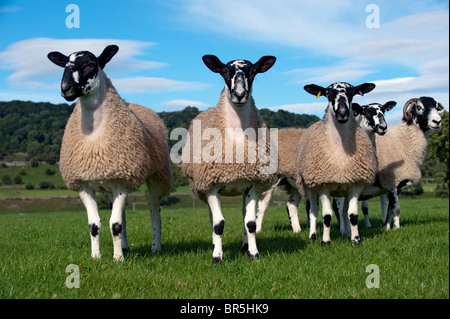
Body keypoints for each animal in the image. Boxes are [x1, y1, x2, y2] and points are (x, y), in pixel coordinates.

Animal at [47, 45, 171, 262]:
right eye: (64, 65)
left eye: (91, 64)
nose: (65, 89)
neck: (94, 136)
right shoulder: (84, 185)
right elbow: (95, 225)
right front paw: (96, 257)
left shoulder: (122, 181)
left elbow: (115, 225)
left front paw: (117, 259)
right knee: (122, 214)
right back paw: (125, 246)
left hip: (156, 175)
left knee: (155, 211)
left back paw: (155, 247)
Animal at [181, 54, 276, 262]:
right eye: (224, 71)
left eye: (253, 71)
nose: (239, 94)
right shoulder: (211, 185)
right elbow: (219, 224)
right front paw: (217, 257)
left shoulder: (252, 183)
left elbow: (251, 223)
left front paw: (253, 254)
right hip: (203, 187)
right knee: (212, 218)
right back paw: (214, 245)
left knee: (244, 215)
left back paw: (244, 245)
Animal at [294, 82, 378, 245]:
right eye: (328, 94)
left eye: (352, 93)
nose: (343, 113)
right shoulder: (323, 184)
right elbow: (326, 216)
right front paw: (325, 241)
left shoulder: (355, 183)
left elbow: (353, 215)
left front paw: (355, 239)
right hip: (309, 185)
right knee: (313, 210)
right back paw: (313, 236)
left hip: (344, 188)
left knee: (344, 211)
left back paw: (346, 233)